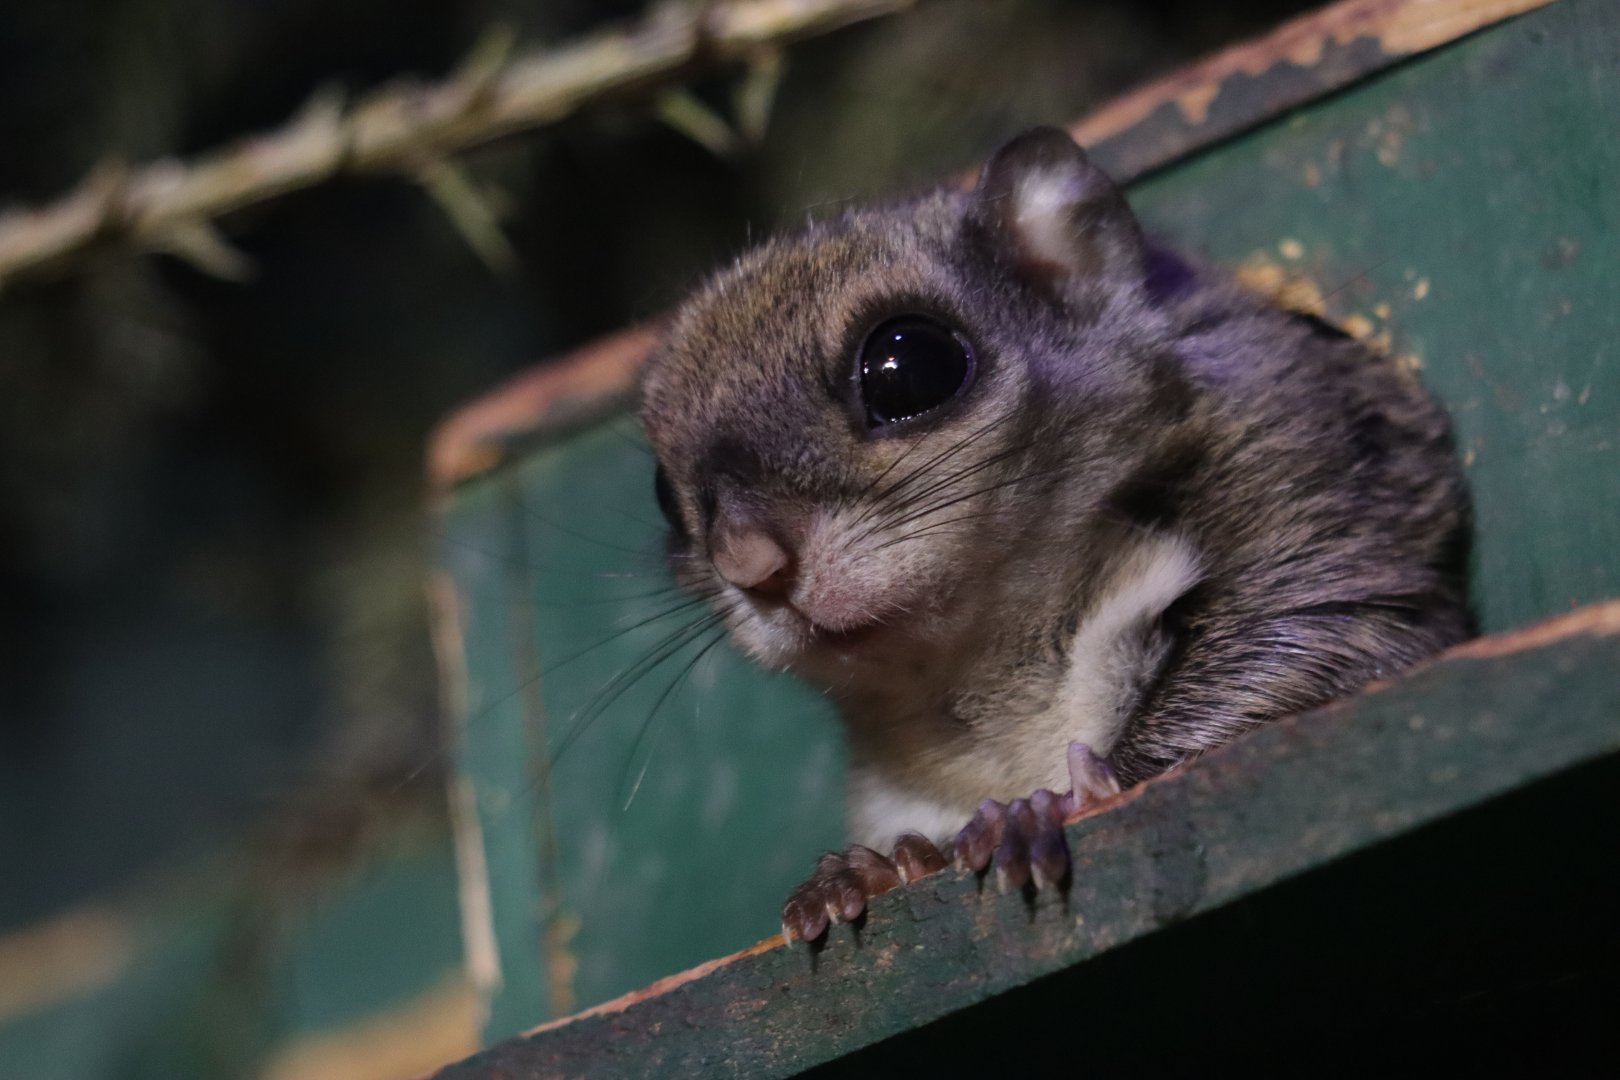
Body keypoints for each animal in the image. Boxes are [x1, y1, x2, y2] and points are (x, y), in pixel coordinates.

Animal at [638, 127, 1472, 944]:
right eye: (661, 494)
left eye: (909, 365)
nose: (750, 565)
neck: (988, 673)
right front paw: (879, 868)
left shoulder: (1301, 480)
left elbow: (1305, 646)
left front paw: (1049, 807)